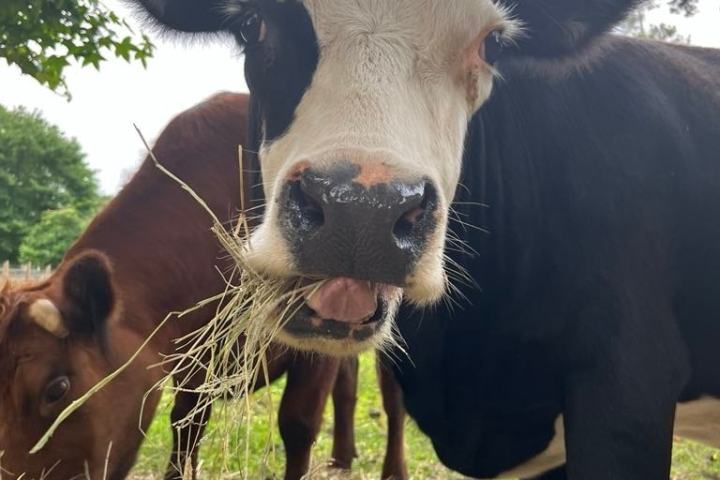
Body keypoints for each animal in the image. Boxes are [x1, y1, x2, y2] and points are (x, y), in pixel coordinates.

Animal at [0, 93, 406, 480]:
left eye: (57, 389)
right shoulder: (193, 360)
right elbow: (187, 425)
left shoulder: (317, 340)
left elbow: (298, 424)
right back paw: (342, 458)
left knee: (392, 398)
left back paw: (392, 470)